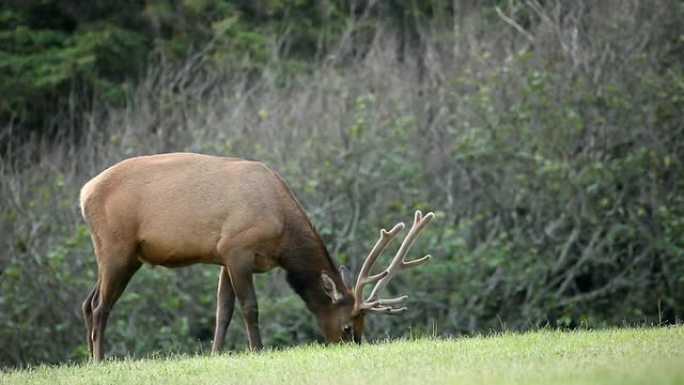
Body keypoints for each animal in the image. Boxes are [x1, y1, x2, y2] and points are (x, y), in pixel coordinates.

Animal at [80, 152, 432, 360]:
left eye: (362, 326)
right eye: (347, 327)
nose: (351, 348)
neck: (282, 232)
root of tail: (84, 194)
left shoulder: (222, 256)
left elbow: (223, 310)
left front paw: (215, 354)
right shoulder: (237, 247)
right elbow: (249, 307)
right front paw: (258, 350)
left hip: (119, 255)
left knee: (87, 301)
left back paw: (90, 358)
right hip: (117, 247)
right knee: (100, 306)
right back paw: (99, 358)